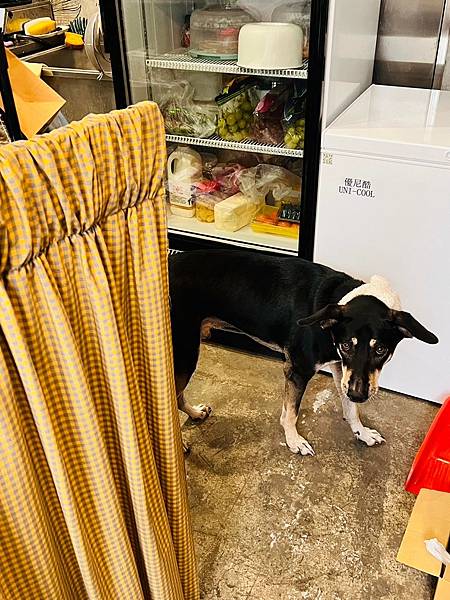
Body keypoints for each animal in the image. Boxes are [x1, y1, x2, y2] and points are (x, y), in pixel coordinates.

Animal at [169, 249, 438, 455]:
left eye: (381, 349)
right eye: (347, 345)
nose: (359, 395)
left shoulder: (342, 368)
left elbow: (350, 408)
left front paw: (362, 432)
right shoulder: (298, 370)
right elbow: (291, 413)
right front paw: (294, 441)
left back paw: (195, 414)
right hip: (185, 353)